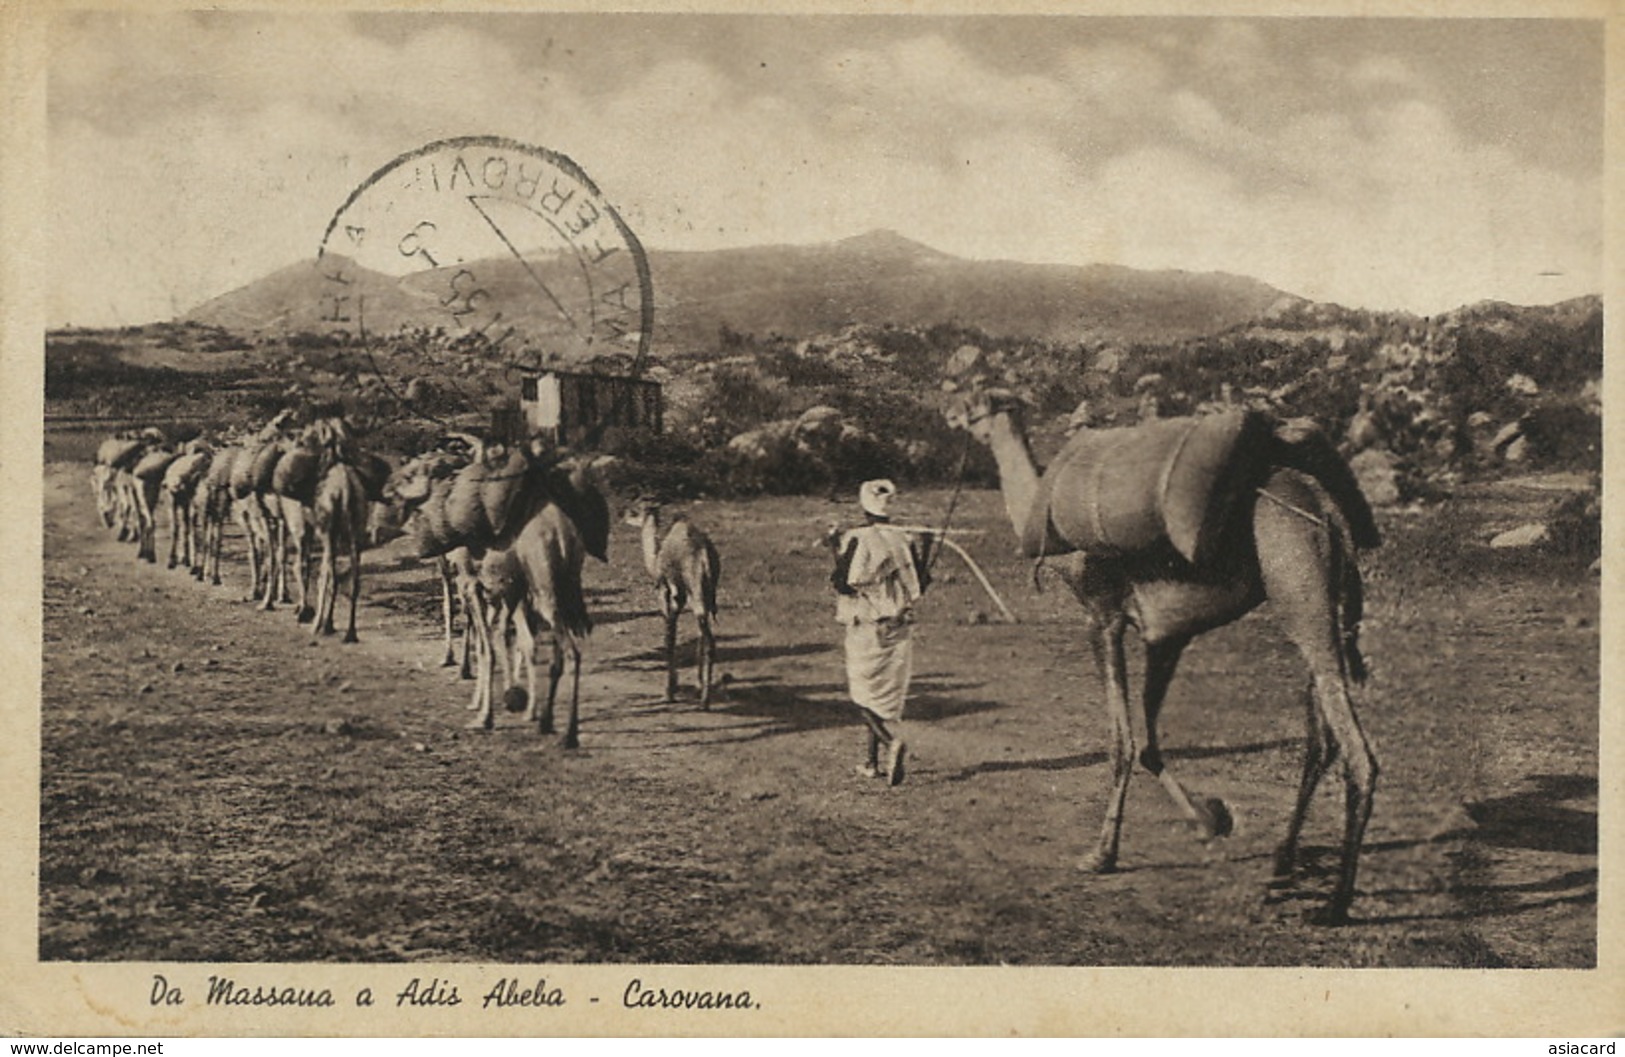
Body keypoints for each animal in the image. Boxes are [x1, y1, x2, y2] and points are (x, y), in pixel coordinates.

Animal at [624, 497, 721, 702]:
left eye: (635, 510)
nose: (623, 514)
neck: (654, 561)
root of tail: (705, 556)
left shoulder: (666, 591)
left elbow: (669, 637)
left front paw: (669, 690)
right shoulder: (682, 596)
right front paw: (694, 684)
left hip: (696, 591)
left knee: (709, 640)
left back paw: (705, 701)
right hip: (707, 595)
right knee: (705, 635)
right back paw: (703, 691)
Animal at [949, 380, 1384, 923]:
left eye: (976, 401)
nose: (950, 414)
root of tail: (1328, 512)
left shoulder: (1104, 618)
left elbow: (1121, 742)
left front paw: (1100, 856)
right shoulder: (1166, 634)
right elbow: (1150, 746)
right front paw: (1212, 819)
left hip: (1301, 591)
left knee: (1357, 753)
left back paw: (1334, 904)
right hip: (1326, 609)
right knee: (1321, 742)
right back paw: (1282, 865)